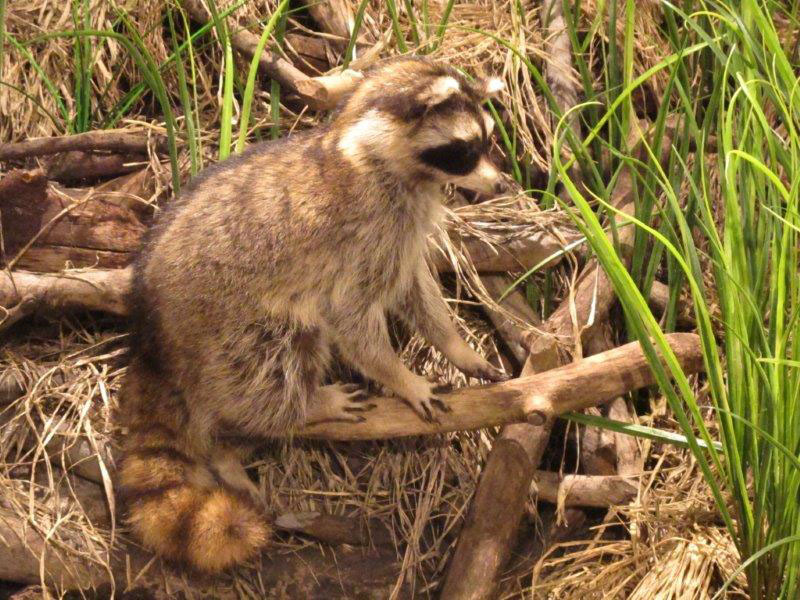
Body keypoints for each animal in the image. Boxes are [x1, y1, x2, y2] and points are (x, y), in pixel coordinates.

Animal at [116, 56, 510, 573]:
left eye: (488, 140)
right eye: (464, 151)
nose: (502, 183)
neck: (370, 151)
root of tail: (150, 337)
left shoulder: (402, 229)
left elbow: (415, 287)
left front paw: (455, 346)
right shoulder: (367, 230)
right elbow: (352, 317)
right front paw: (401, 377)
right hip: (226, 325)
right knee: (275, 365)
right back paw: (296, 410)